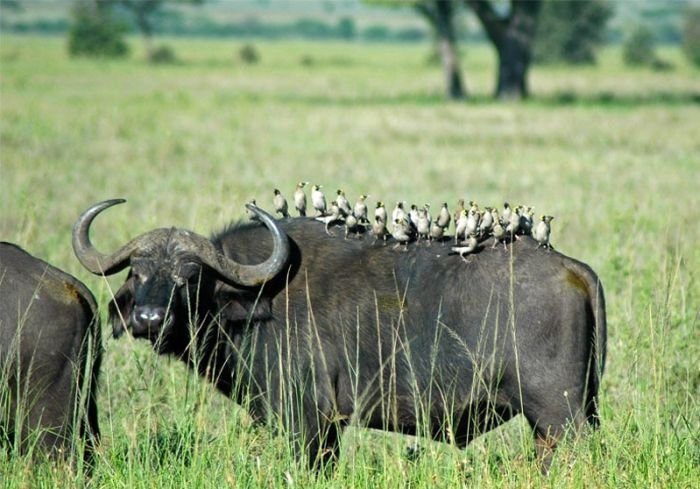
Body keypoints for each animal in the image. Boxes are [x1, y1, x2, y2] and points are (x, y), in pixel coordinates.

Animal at [74, 199, 604, 472]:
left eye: (189, 277)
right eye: (139, 273)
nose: (148, 318)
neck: (255, 297)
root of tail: (572, 268)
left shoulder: (308, 420)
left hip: (558, 416)